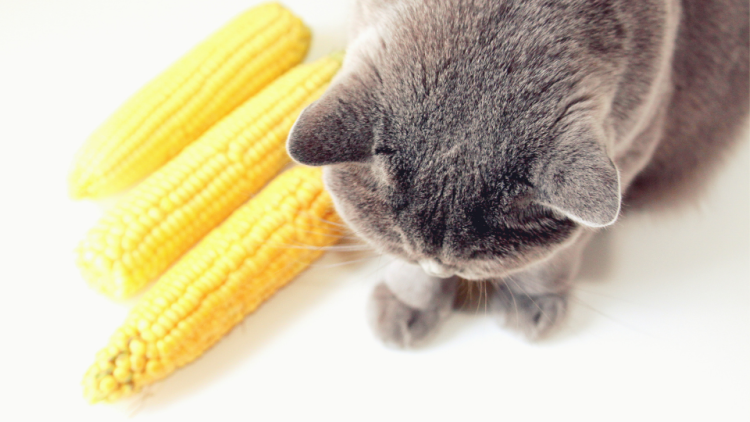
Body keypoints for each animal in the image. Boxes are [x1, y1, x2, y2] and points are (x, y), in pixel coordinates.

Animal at [284, 0, 748, 346]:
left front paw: (533, 302)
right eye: (406, 245)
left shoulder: (638, 137)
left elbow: (564, 248)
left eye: (476, 259)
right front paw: (408, 302)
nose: (441, 269)